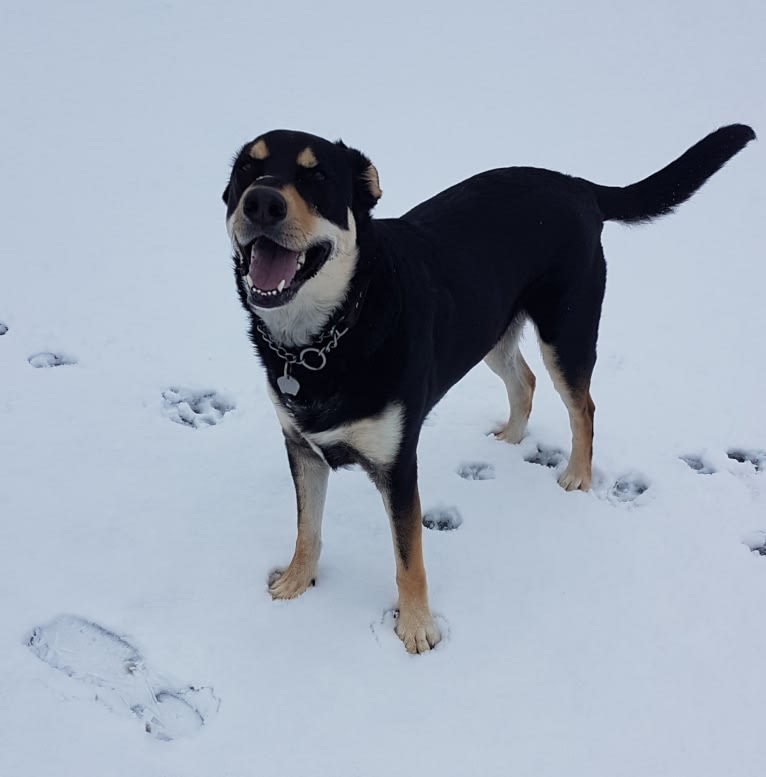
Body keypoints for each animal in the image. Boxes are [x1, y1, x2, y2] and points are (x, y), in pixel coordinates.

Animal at [222, 124, 756, 652]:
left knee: (582, 405)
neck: (325, 338)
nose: (261, 202)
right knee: (526, 380)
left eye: (318, 177)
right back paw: (512, 437)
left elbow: (408, 557)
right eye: (247, 168)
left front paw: (417, 627)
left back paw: (577, 475)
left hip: (566, 331)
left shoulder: (398, 464)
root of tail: (577, 185)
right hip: (491, 328)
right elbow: (306, 528)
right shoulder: (301, 447)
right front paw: (295, 582)